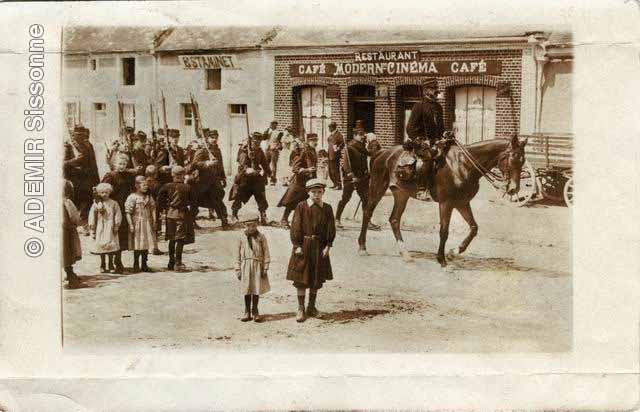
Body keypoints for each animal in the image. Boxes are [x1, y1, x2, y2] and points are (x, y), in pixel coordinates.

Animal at [358, 135, 528, 268]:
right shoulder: (446, 203)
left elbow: (474, 228)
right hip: (378, 187)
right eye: (512, 159)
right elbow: (444, 231)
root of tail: (381, 153)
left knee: (394, 219)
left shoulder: (462, 203)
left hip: (401, 194)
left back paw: (405, 254)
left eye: (523, 161)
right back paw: (362, 248)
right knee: (367, 212)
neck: (463, 165)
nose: (514, 189)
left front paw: (453, 253)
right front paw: (442, 259)